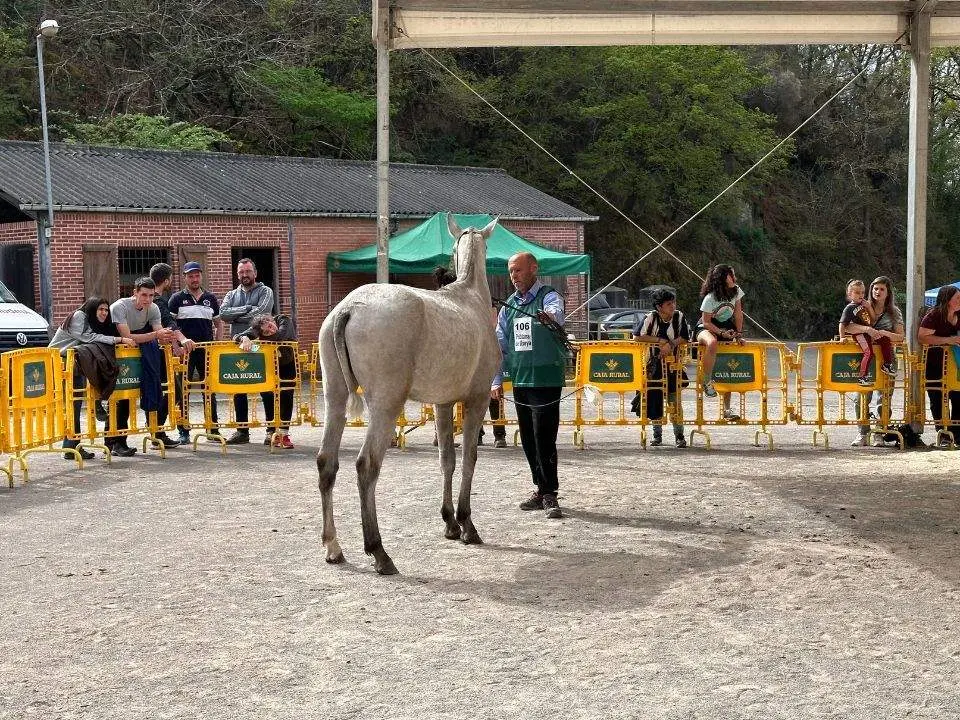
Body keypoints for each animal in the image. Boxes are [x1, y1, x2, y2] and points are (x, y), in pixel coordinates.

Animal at [316, 214, 501, 575]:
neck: (468, 297)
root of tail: (349, 309)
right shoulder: (477, 400)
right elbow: (469, 458)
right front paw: (466, 524)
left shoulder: (443, 404)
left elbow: (447, 459)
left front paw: (450, 523)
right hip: (386, 407)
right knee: (366, 467)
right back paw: (379, 552)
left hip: (335, 399)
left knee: (326, 464)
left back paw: (333, 547)